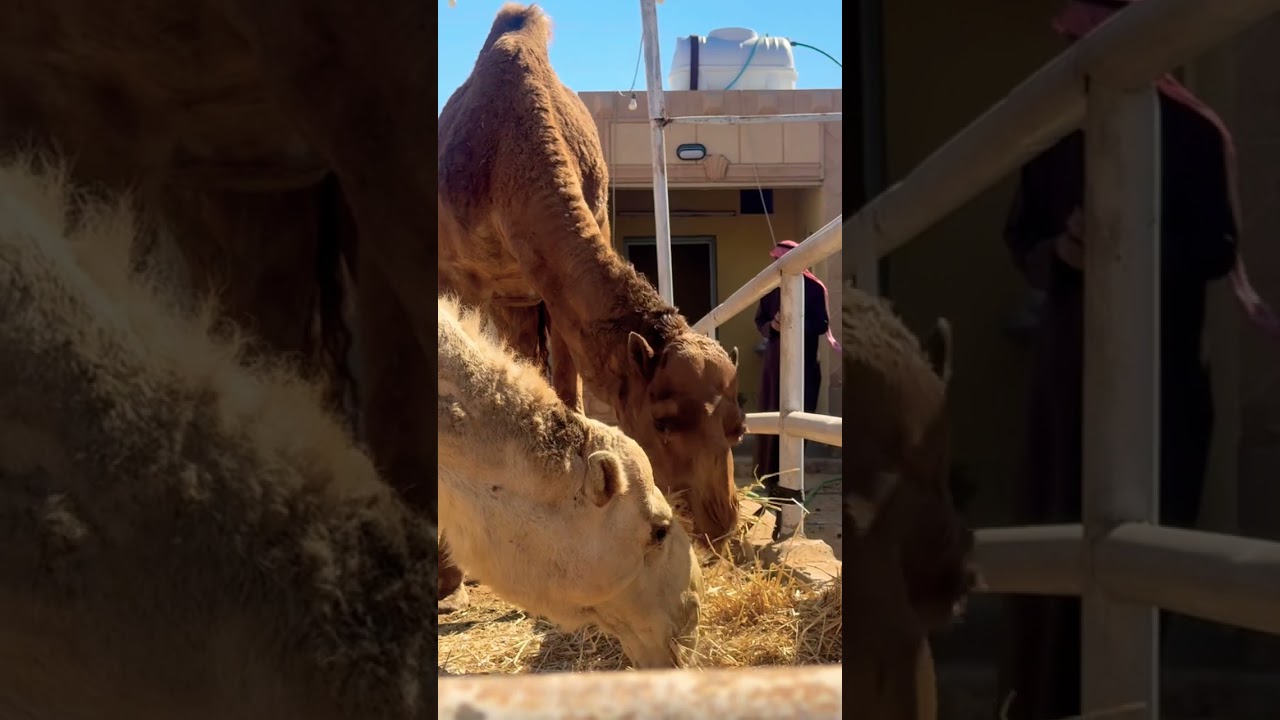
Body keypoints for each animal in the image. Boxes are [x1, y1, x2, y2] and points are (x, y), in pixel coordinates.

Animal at [437, 6, 747, 561]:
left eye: (739, 426)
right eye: (662, 421)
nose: (720, 525)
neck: (506, 157)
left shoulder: (558, 285)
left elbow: (567, 391)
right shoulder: (463, 278)